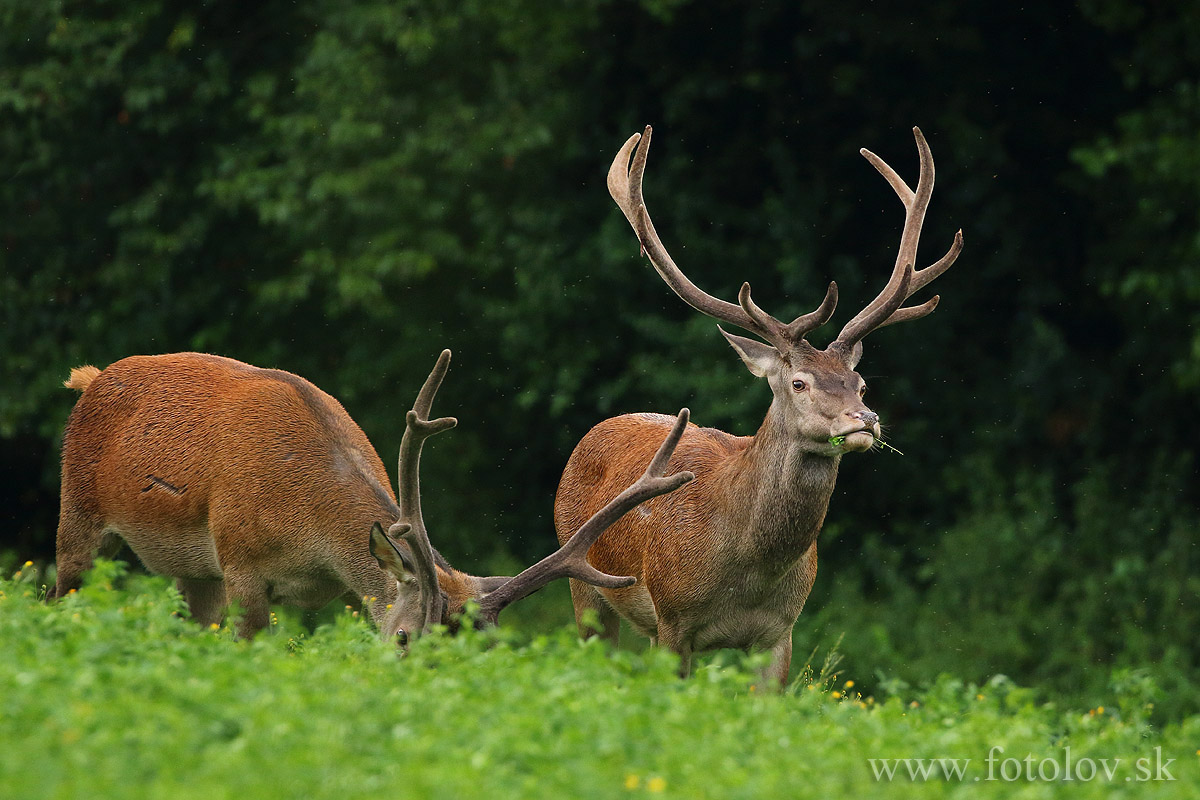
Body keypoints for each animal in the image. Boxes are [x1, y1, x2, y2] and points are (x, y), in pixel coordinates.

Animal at [54, 350, 696, 642]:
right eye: (407, 636)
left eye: (477, 650)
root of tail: (91, 378)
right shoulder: (239, 559)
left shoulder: (341, 587)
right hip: (78, 512)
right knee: (59, 590)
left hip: (196, 572)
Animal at [554, 123, 964, 681]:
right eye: (800, 383)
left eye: (860, 384)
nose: (866, 420)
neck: (746, 574)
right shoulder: (672, 619)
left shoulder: (781, 631)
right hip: (582, 580)